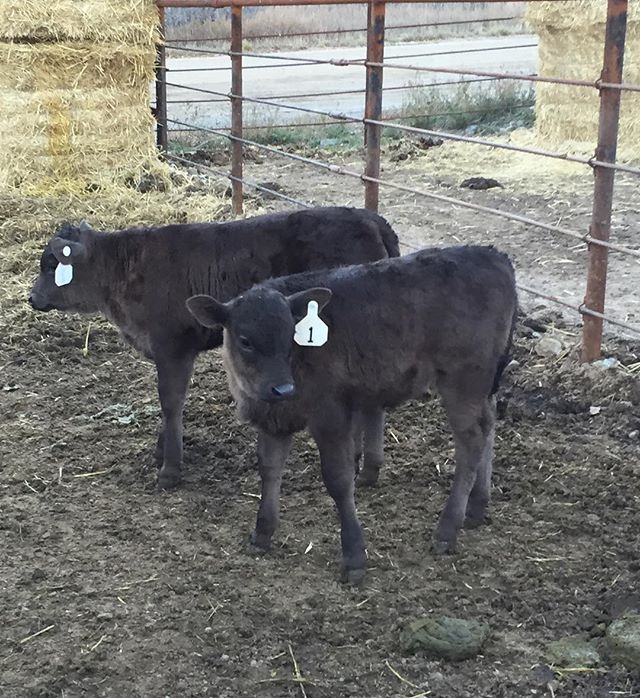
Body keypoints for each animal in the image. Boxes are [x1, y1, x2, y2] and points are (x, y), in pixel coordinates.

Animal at [28, 207, 399, 489]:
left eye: (52, 265)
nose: (31, 298)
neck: (125, 270)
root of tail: (370, 217)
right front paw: (162, 451)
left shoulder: (173, 346)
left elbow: (171, 402)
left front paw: (170, 469)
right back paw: (367, 470)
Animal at [186, 245, 517, 584]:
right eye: (245, 340)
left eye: (290, 334)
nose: (283, 387)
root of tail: (490, 254)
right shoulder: (273, 420)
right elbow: (269, 470)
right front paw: (262, 533)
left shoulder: (331, 415)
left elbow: (339, 480)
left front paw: (354, 556)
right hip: (483, 384)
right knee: (488, 424)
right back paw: (476, 507)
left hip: (462, 379)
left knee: (471, 442)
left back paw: (447, 529)